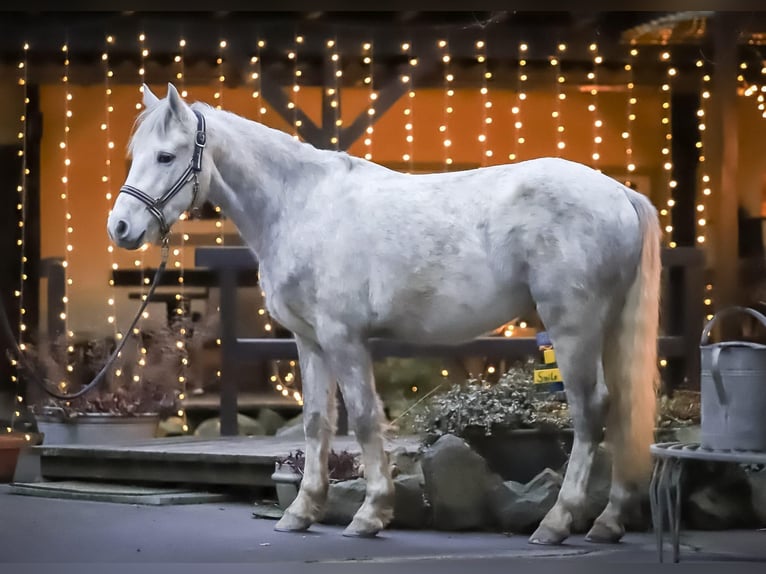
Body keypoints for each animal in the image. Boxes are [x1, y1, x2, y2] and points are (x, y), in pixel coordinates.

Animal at [109, 83, 664, 548]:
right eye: (135, 155)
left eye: (166, 155)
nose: (121, 227)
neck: (303, 205)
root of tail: (620, 193)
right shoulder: (310, 342)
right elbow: (317, 422)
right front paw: (301, 512)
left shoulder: (344, 339)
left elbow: (363, 419)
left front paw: (370, 515)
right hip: (605, 328)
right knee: (622, 411)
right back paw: (608, 522)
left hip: (572, 328)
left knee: (591, 411)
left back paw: (557, 522)